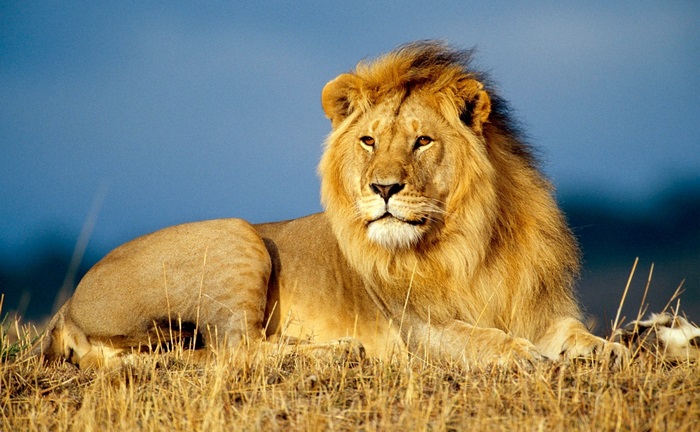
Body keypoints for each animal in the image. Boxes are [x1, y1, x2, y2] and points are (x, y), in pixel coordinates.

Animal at [35, 41, 629, 370]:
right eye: (368, 141)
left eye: (422, 141)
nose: (383, 188)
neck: (470, 240)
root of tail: (66, 306)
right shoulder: (417, 329)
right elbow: (476, 337)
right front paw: (520, 353)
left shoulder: (537, 307)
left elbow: (572, 332)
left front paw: (610, 349)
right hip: (236, 235)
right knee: (234, 350)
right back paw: (337, 352)